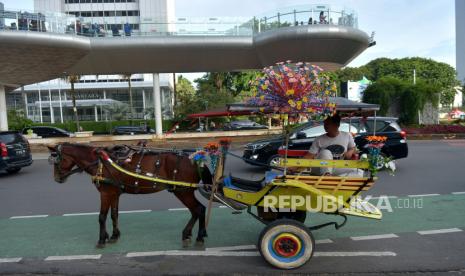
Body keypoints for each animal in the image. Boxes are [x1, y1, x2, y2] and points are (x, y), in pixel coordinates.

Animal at [47, 142, 212, 248]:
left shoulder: (105, 193)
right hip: (183, 192)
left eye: (57, 160)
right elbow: (114, 214)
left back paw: (196, 236)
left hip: (182, 191)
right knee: (197, 211)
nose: (57, 178)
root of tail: (195, 160)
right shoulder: (114, 193)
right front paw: (114, 235)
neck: (100, 161)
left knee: (198, 209)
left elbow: (102, 217)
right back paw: (191, 234)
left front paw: (101, 239)